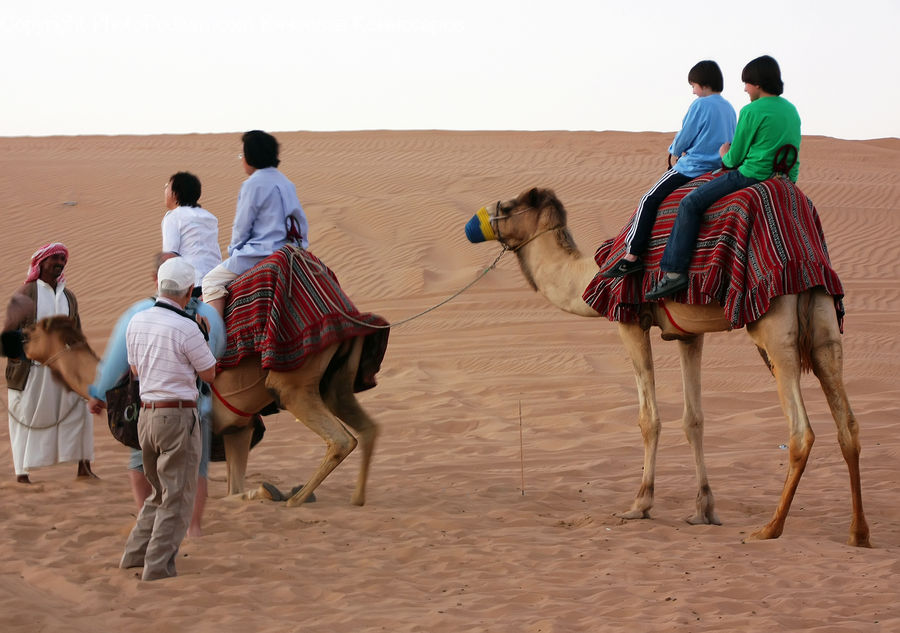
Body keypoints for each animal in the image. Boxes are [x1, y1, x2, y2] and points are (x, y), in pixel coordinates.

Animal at [22, 314, 381, 508]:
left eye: (35, 330)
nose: (21, 338)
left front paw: (267, 492)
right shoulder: (238, 429)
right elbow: (232, 489)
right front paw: (263, 491)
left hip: (294, 387)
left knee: (341, 439)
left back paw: (298, 498)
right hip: (335, 383)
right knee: (367, 429)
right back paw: (355, 498)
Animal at [465, 186, 870, 547]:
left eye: (508, 205)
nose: (473, 223)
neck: (590, 274)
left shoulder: (629, 320)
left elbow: (649, 419)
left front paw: (639, 504)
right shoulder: (689, 334)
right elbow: (694, 419)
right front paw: (704, 510)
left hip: (775, 328)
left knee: (801, 432)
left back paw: (770, 529)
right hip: (822, 319)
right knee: (847, 424)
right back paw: (858, 534)